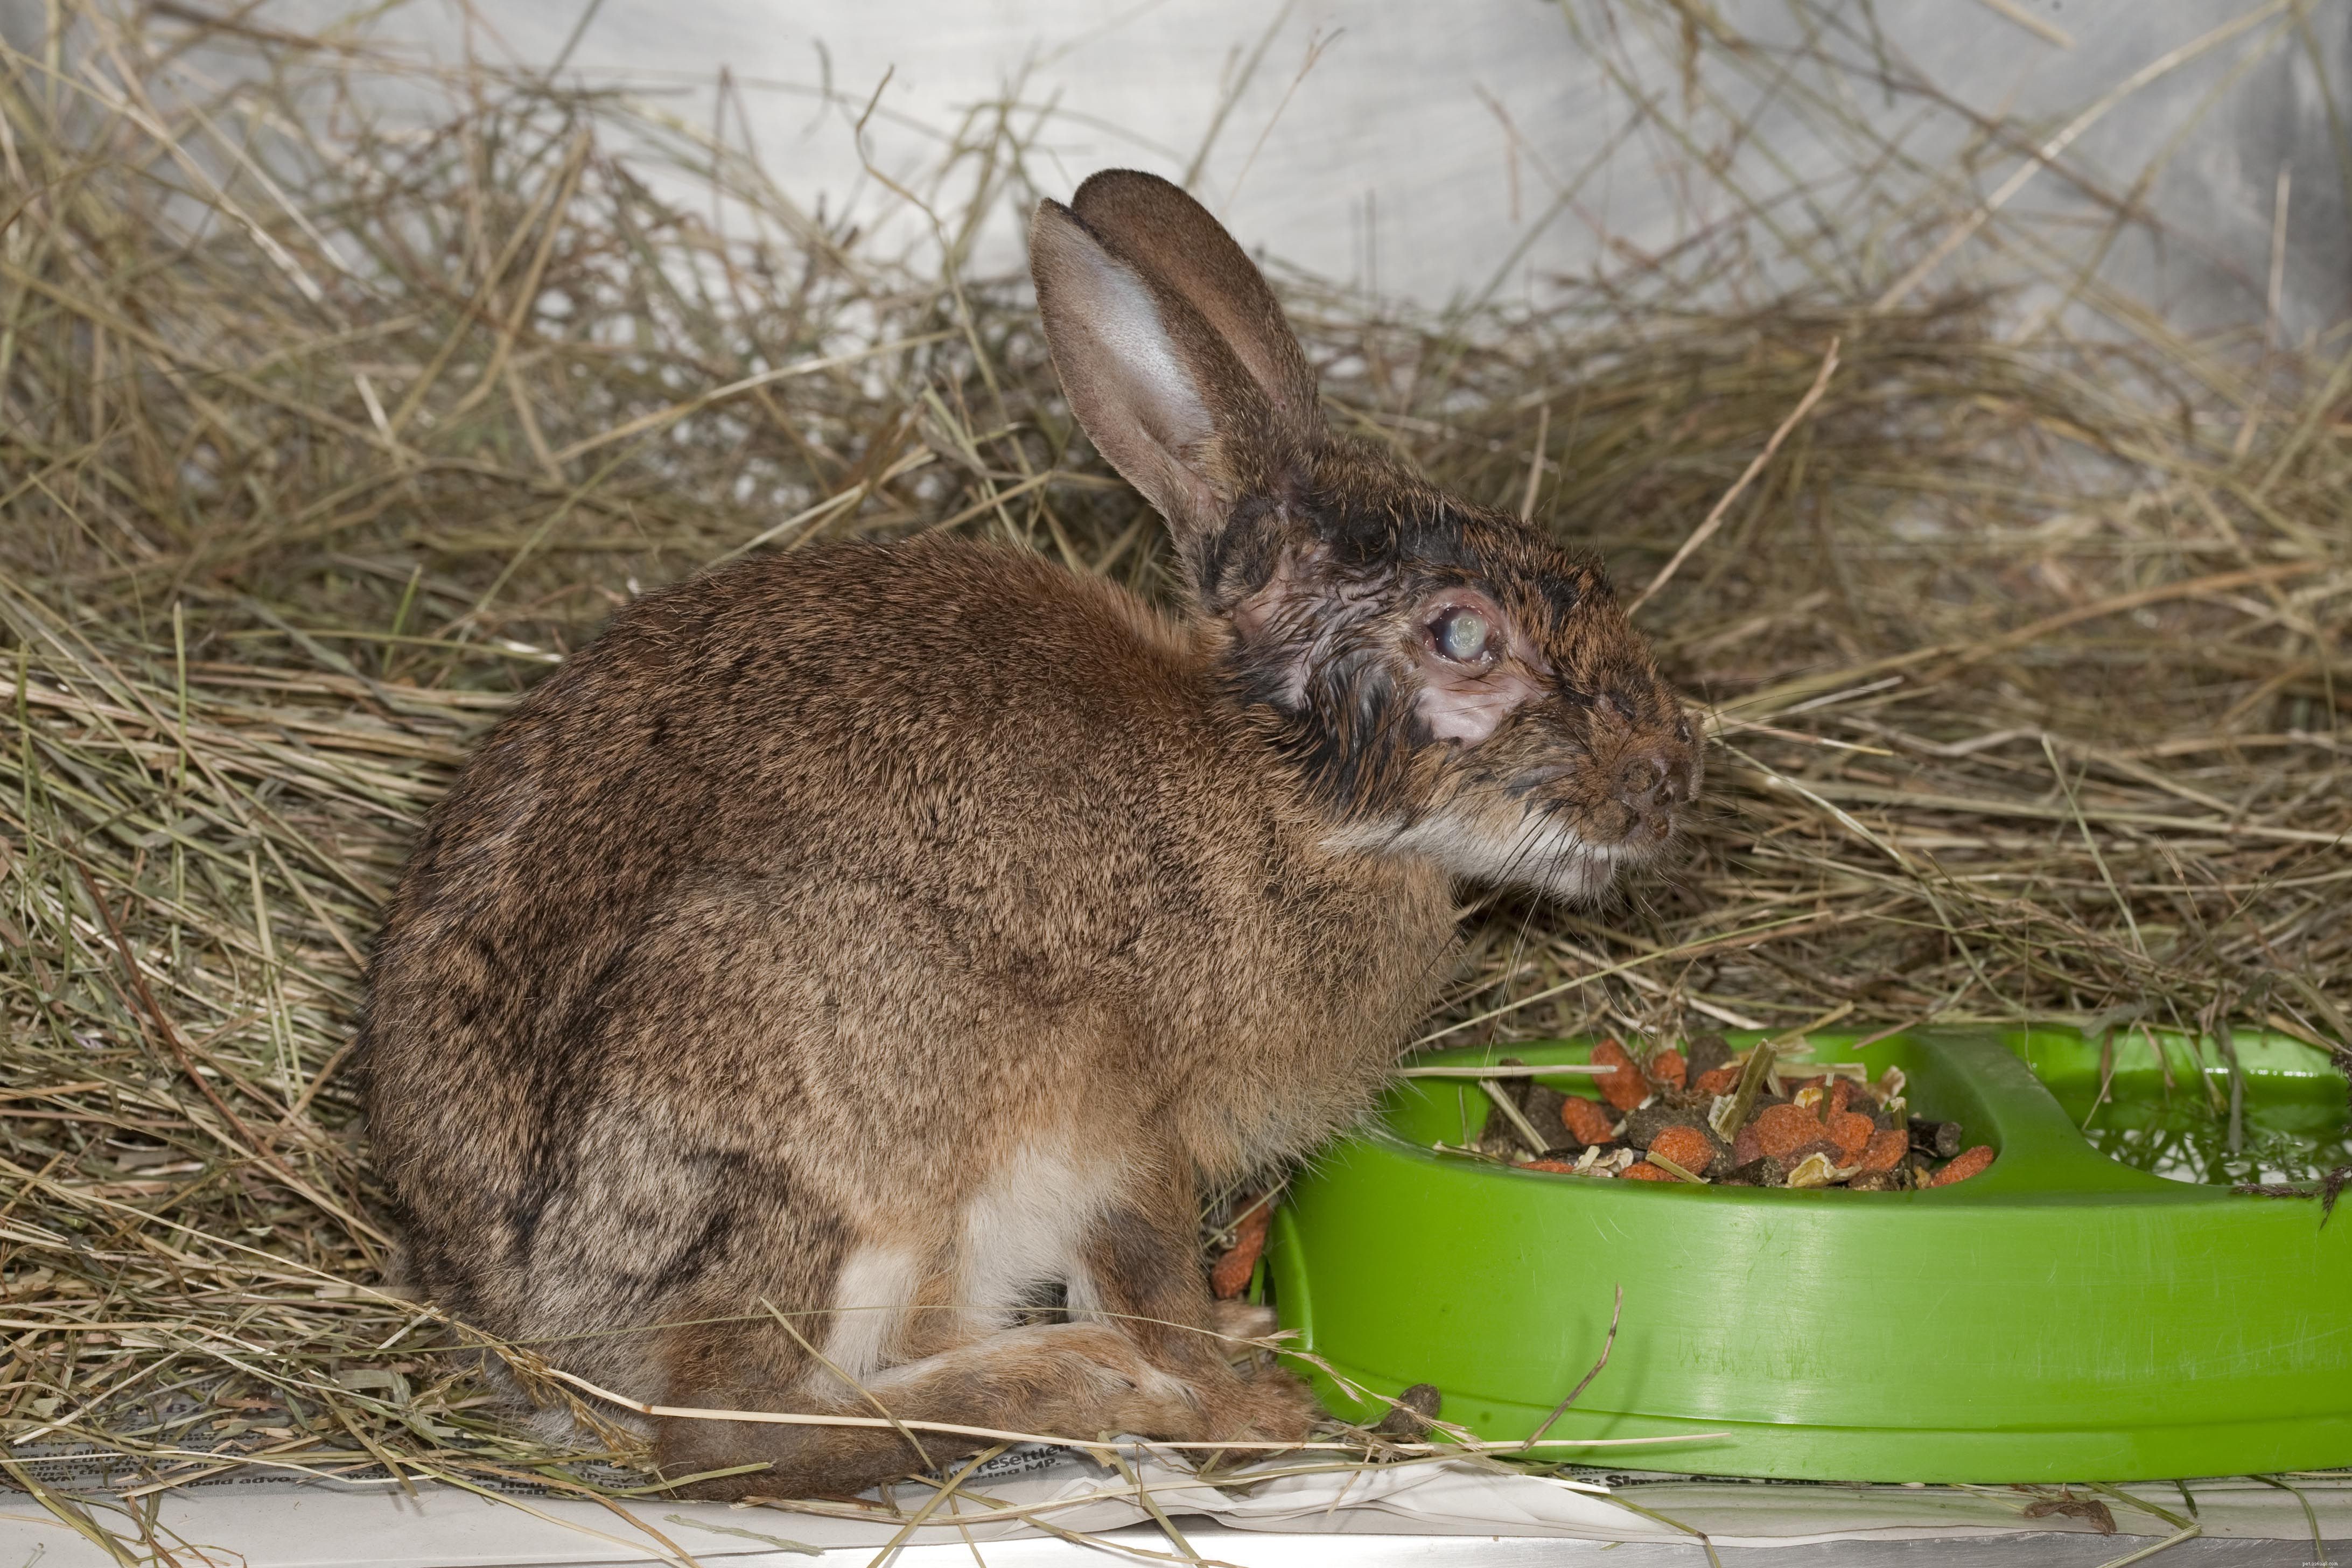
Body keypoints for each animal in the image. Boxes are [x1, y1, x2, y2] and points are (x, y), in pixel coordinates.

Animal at [359, 169, 1699, 1501]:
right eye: (1464, 638)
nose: (1669, 779)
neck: (1281, 790)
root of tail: (528, 1328)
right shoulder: (1127, 1126)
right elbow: (1151, 1279)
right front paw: (1246, 1409)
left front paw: (1245, 1345)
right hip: (835, 1138)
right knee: (737, 1433)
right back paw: (1076, 1384)